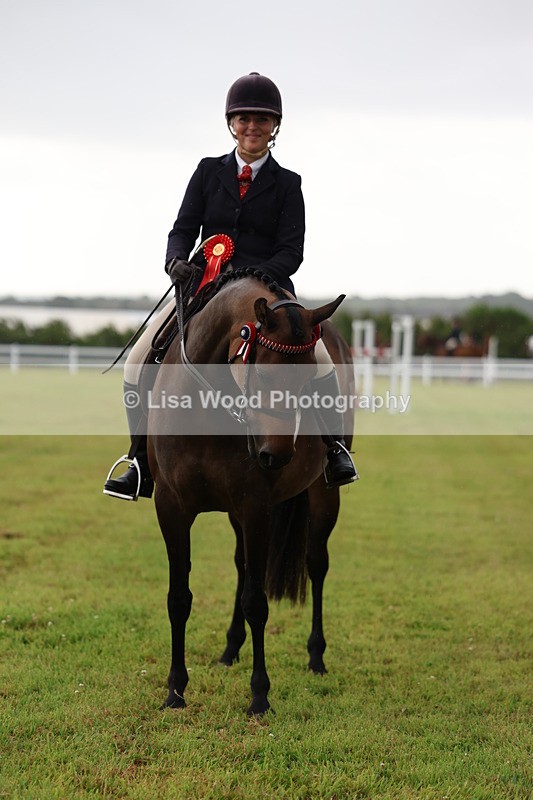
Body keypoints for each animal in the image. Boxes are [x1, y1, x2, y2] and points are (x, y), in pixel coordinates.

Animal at [147, 269, 355, 716]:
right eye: (262, 374)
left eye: (309, 379)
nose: (275, 457)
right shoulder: (171, 507)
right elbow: (179, 597)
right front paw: (176, 690)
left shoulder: (255, 506)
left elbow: (257, 602)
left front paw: (259, 696)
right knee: (243, 566)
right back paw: (229, 650)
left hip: (322, 496)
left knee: (316, 565)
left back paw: (316, 657)